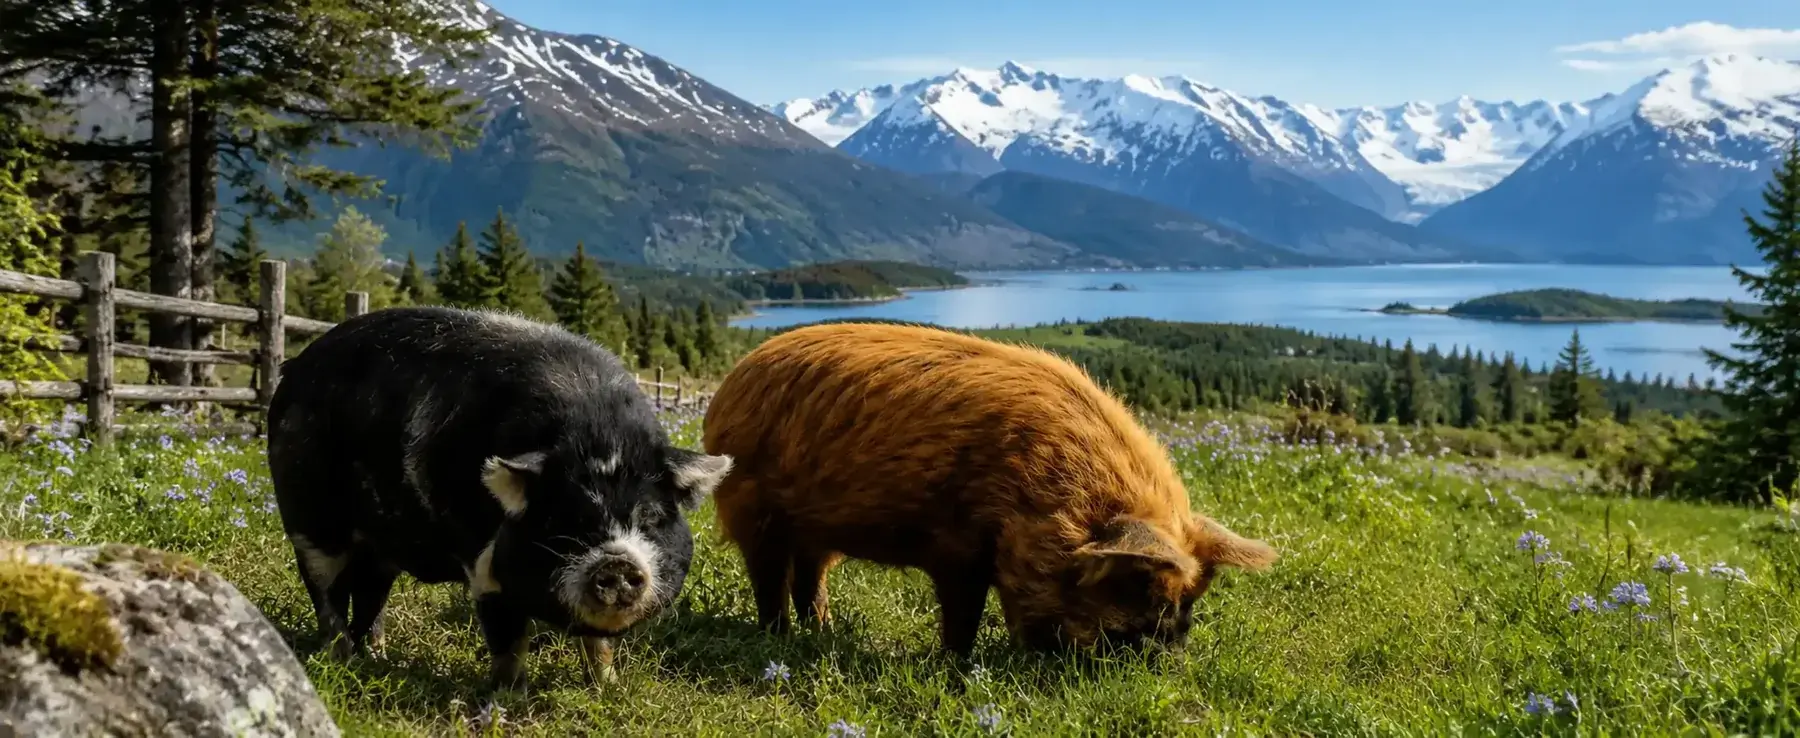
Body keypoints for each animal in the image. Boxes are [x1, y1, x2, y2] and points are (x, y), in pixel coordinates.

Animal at [266, 306, 733, 691]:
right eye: (566, 518)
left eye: (650, 517)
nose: (617, 564)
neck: (599, 435)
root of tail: (294, 369)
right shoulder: (483, 563)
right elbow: (508, 637)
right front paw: (510, 697)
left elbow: (597, 644)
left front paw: (607, 688)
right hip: (308, 520)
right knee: (325, 590)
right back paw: (341, 659)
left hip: (381, 548)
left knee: (368, 594)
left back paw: (375, 656)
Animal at [702, 321, 1277, 657]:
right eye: (1141, 590)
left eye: (1189, 605)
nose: (1166, 666)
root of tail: (731, 384)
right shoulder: (957, 545)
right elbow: (963, 612)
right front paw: (956, 666)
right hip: (753, 505)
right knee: (769, 578)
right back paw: (779, 640)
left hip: (817, 530)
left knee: (810, 579)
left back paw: (821, 633)